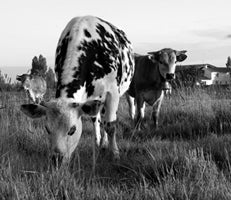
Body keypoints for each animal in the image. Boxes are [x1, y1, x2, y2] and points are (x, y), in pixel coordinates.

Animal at [20, 16, 134, 166]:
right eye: (47, 129)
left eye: (72, 130)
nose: (56, 159)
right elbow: (97, 121)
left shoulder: (113, 93)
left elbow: (111, 126)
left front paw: (115, 154)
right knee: (97, 119)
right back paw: (100, 142)